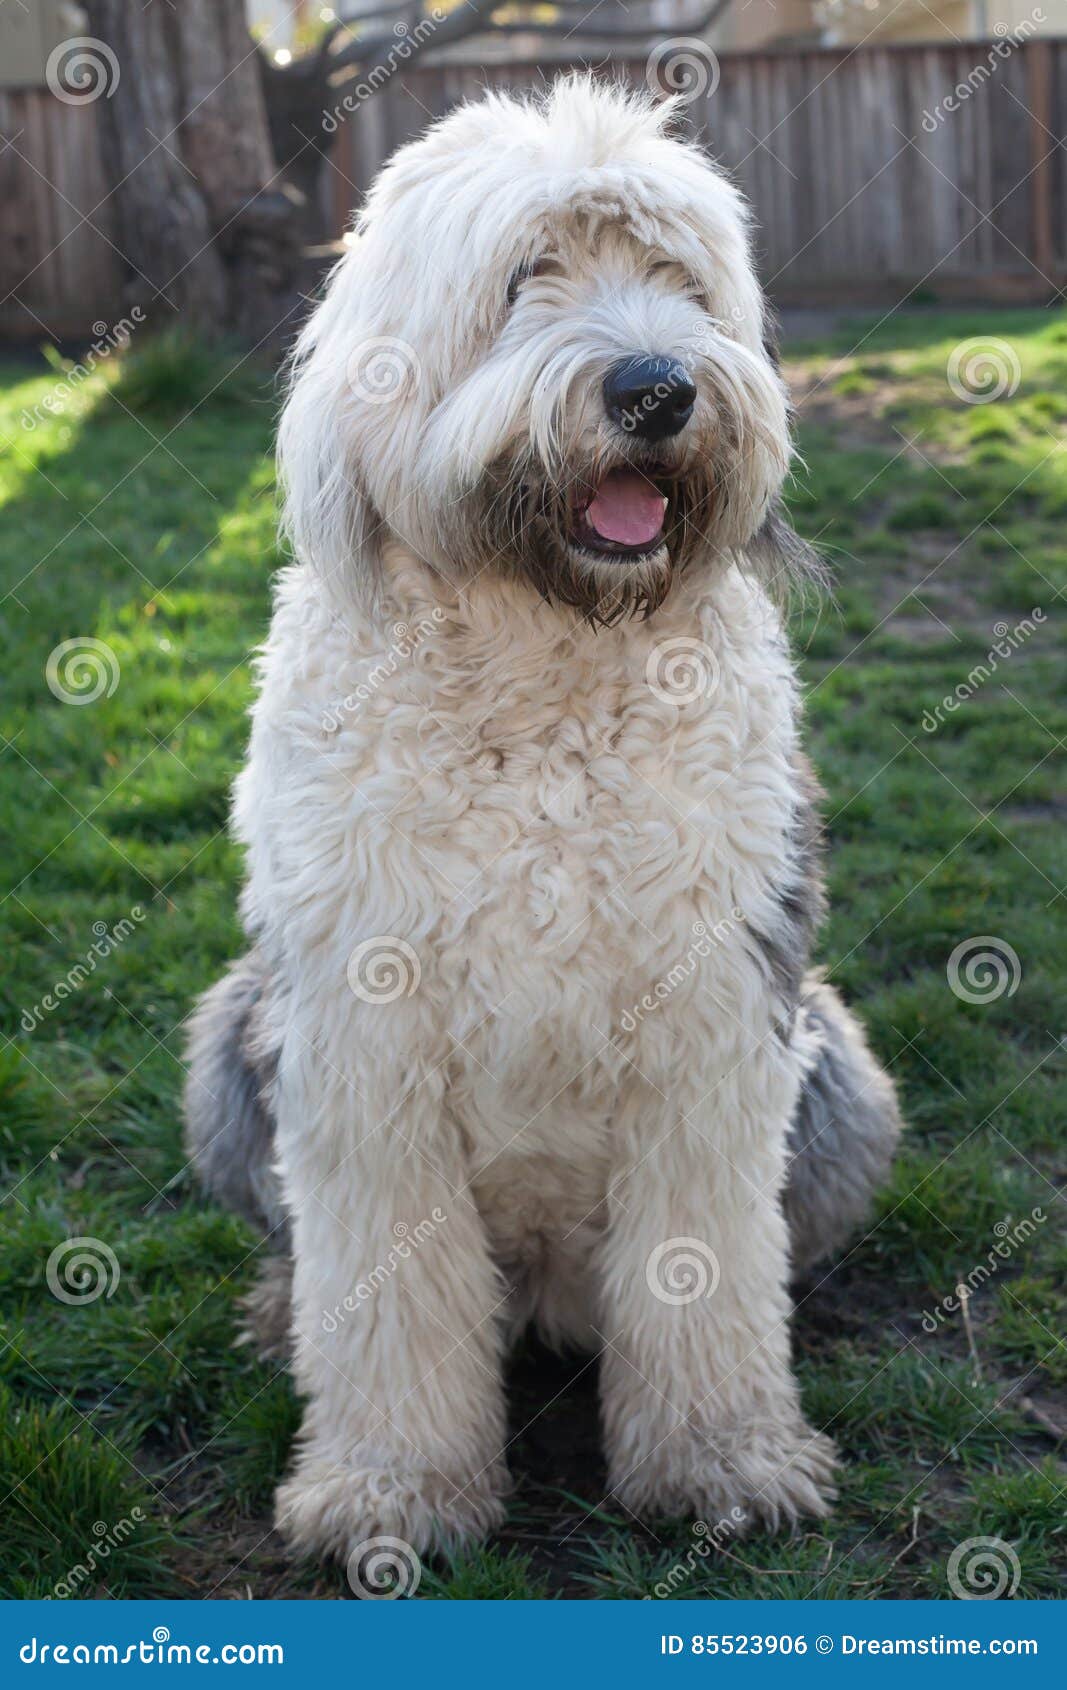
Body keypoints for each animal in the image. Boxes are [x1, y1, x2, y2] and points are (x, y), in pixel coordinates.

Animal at [183, 76, 899, 1554]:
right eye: (525, 277)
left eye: (678, 280)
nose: (655, 388)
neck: (547, 663)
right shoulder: (359, 1034)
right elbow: (384, 1284)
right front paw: (388, 1490)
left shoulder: (713, 1017)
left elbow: (704, 1262)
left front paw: (723, 1462)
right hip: (232, 1036)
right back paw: (283, 1316)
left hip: (840, 1070)